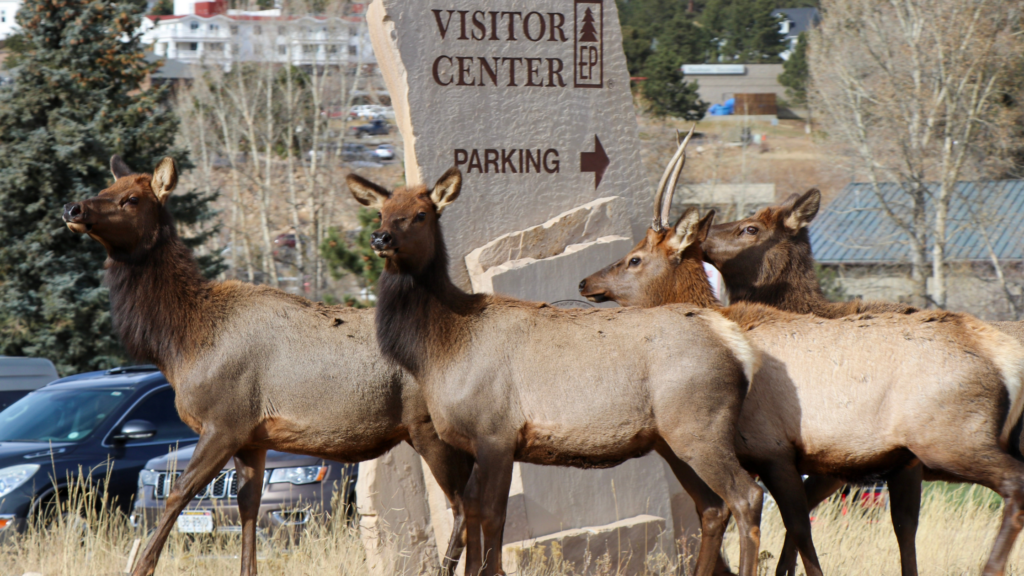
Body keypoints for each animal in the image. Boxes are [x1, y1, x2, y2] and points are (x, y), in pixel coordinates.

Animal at [64, 155, 475, 573]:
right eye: (105, 189)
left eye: (131, 198)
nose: (73, 209)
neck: (180, 344)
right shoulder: (252, 438)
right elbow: (248, 508)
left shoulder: (224, 421)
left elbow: (178, 494)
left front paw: (141, 567)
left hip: (430, 428)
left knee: (464, 506)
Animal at [348, 165, 765, 573]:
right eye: (381, 211)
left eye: (421, 214)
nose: (380, 237)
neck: (438, 350)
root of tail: (735, 344)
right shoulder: (475, 443)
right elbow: (471, 518)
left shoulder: (496, 434)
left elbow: (492, 522)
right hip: (671, 440)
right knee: (712, 507)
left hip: (700, 427)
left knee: (747, 496)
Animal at [581, 135, 1024, 573]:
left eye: (635, 259)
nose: (587, 281)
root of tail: (997, 354)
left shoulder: (778, 451)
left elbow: (797, 529)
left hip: (947, 440)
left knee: (1011, 486)